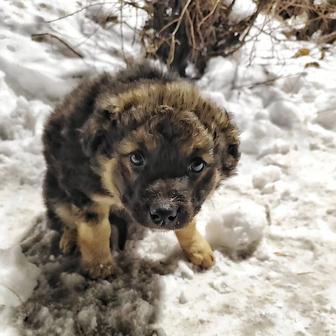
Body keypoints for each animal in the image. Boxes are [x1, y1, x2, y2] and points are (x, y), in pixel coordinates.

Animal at [42, 63, 239, 278]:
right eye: (136, 157)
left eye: (197, 165)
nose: (163, 213)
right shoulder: (83, 191)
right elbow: (96, 229)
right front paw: (100, 266)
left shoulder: (189, 205)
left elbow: (188, 223)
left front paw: (198, 249)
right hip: (55, 191)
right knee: (64, 216)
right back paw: (70, 238)